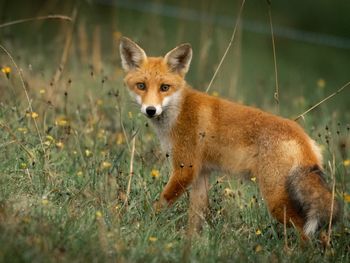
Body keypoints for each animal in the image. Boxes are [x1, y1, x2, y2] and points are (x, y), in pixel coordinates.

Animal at [119, 36, 340, 239]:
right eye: (141, 86)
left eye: (164, 87)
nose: (150, 110)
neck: (179, 112)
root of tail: (303, 136)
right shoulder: (201, 174)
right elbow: (195, 219)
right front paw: (192, 244)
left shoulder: (185, 169)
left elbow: (160, 205)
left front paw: (143, 226)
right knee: (322, 233)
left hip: (275, 200)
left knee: (304, 230)